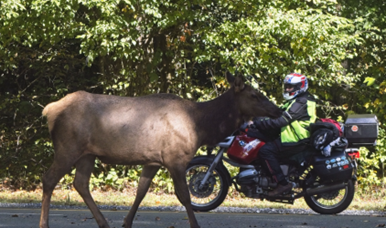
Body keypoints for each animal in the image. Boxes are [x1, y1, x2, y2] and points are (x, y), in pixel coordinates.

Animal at [40, 71, 280, 228]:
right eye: (255, 95)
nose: (277, 109)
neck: (201, 126)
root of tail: (48, 110)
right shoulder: (175, 158)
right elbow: (184, 196)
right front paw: (195, 225)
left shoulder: (153, 160)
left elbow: (141, 191)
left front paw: (126, 223)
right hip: (68, 147)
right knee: (49, 179)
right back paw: (45, 224)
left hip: (87, 154)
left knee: (80, 183)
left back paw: (104, 222)